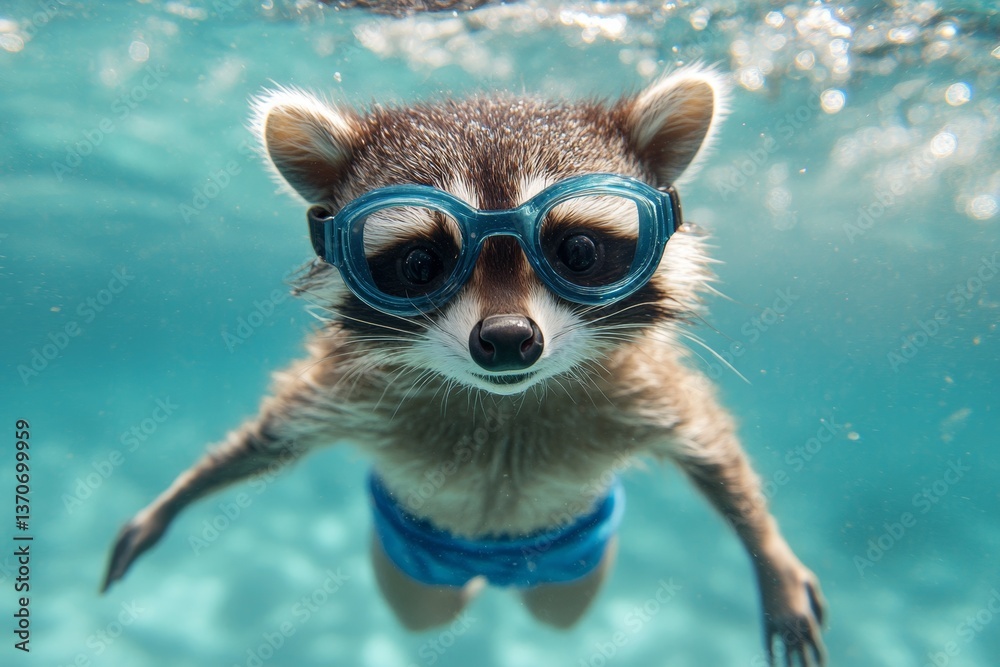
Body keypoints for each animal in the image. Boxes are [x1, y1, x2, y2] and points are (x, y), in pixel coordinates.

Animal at [103, 66, 826, 665]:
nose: (506, 339)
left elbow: (709, 443)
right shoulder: (355, 385)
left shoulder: (635, 382)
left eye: (578, 251)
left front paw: (771, 556)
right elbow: (269, 436)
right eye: (422, 262)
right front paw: (178, 494)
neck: (507, 403)